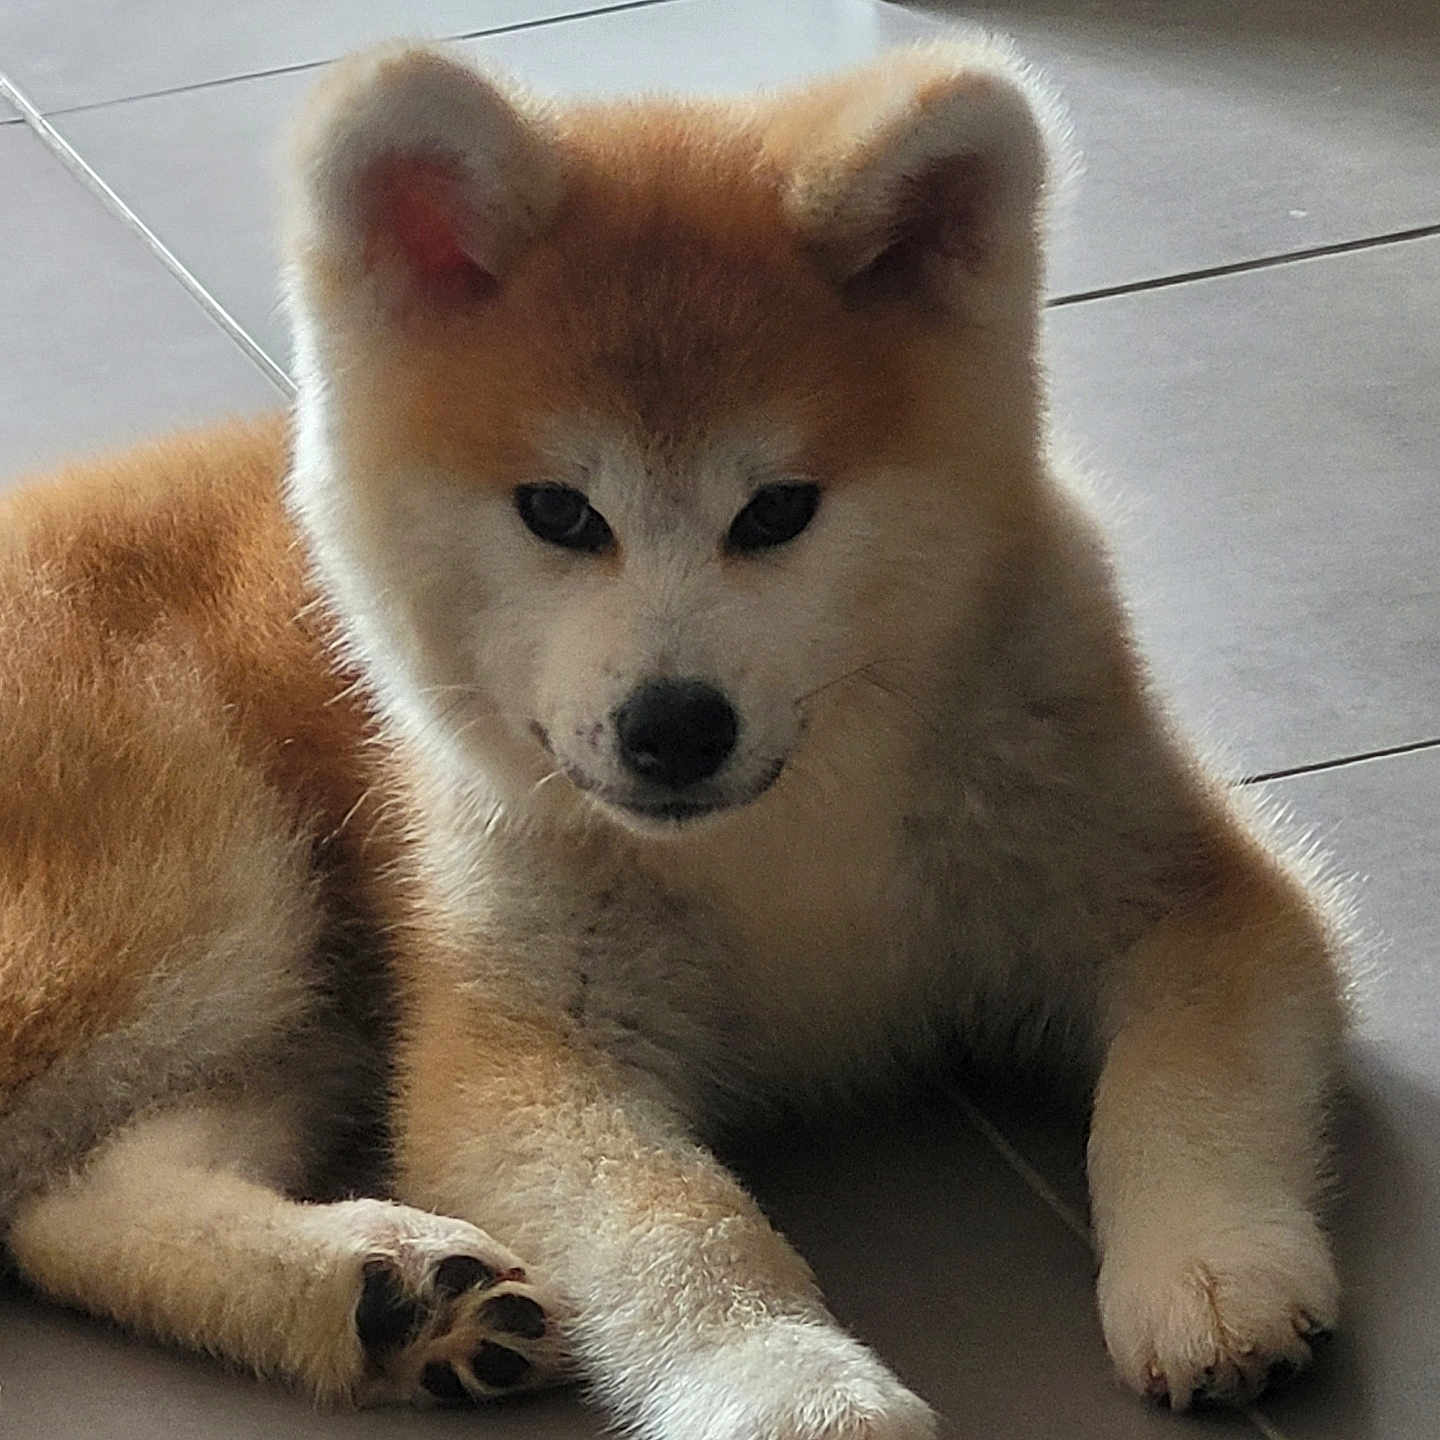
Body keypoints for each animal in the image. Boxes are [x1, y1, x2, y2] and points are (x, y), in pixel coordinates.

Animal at [0, 34, 1346, 1440]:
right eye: (557, 511)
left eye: (779, 510)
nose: (675, 726)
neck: (784, 839)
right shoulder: (528, 1033)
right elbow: (679, 1225)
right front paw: (795, 1391)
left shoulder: (1172, 887)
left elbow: (1179, 1082)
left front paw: (1208, 1266)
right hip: (193, 894)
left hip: (286, 1004)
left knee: (69, 1193)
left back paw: (385, 1294)